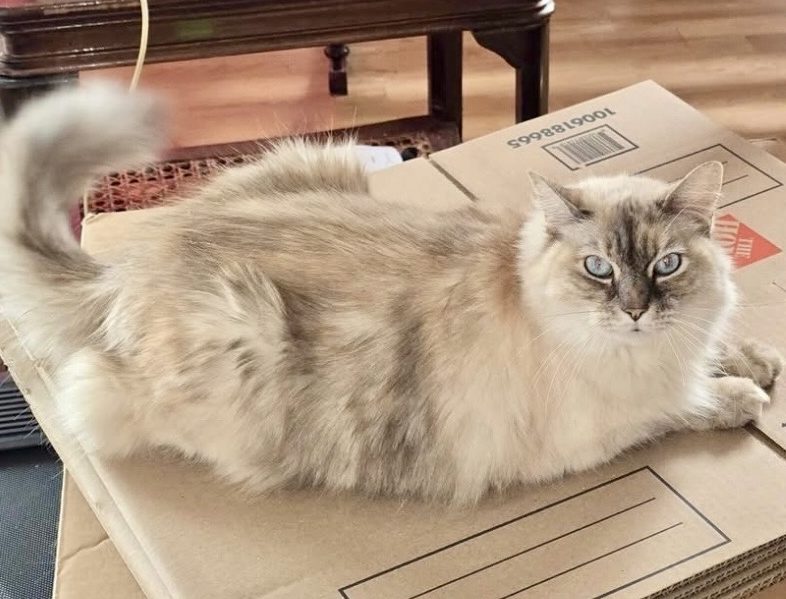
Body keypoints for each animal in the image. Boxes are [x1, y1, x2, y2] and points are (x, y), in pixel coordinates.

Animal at [0, 84, 782, 505]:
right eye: (597, 268)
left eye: (667, 265)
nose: (636, 310)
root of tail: (128, 268)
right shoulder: (615, 420)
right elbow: (686, 402)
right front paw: (746, 396)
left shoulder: (687, 342)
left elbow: (722, 350)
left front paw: (758, 361)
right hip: (235, 335)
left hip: (320, 160)